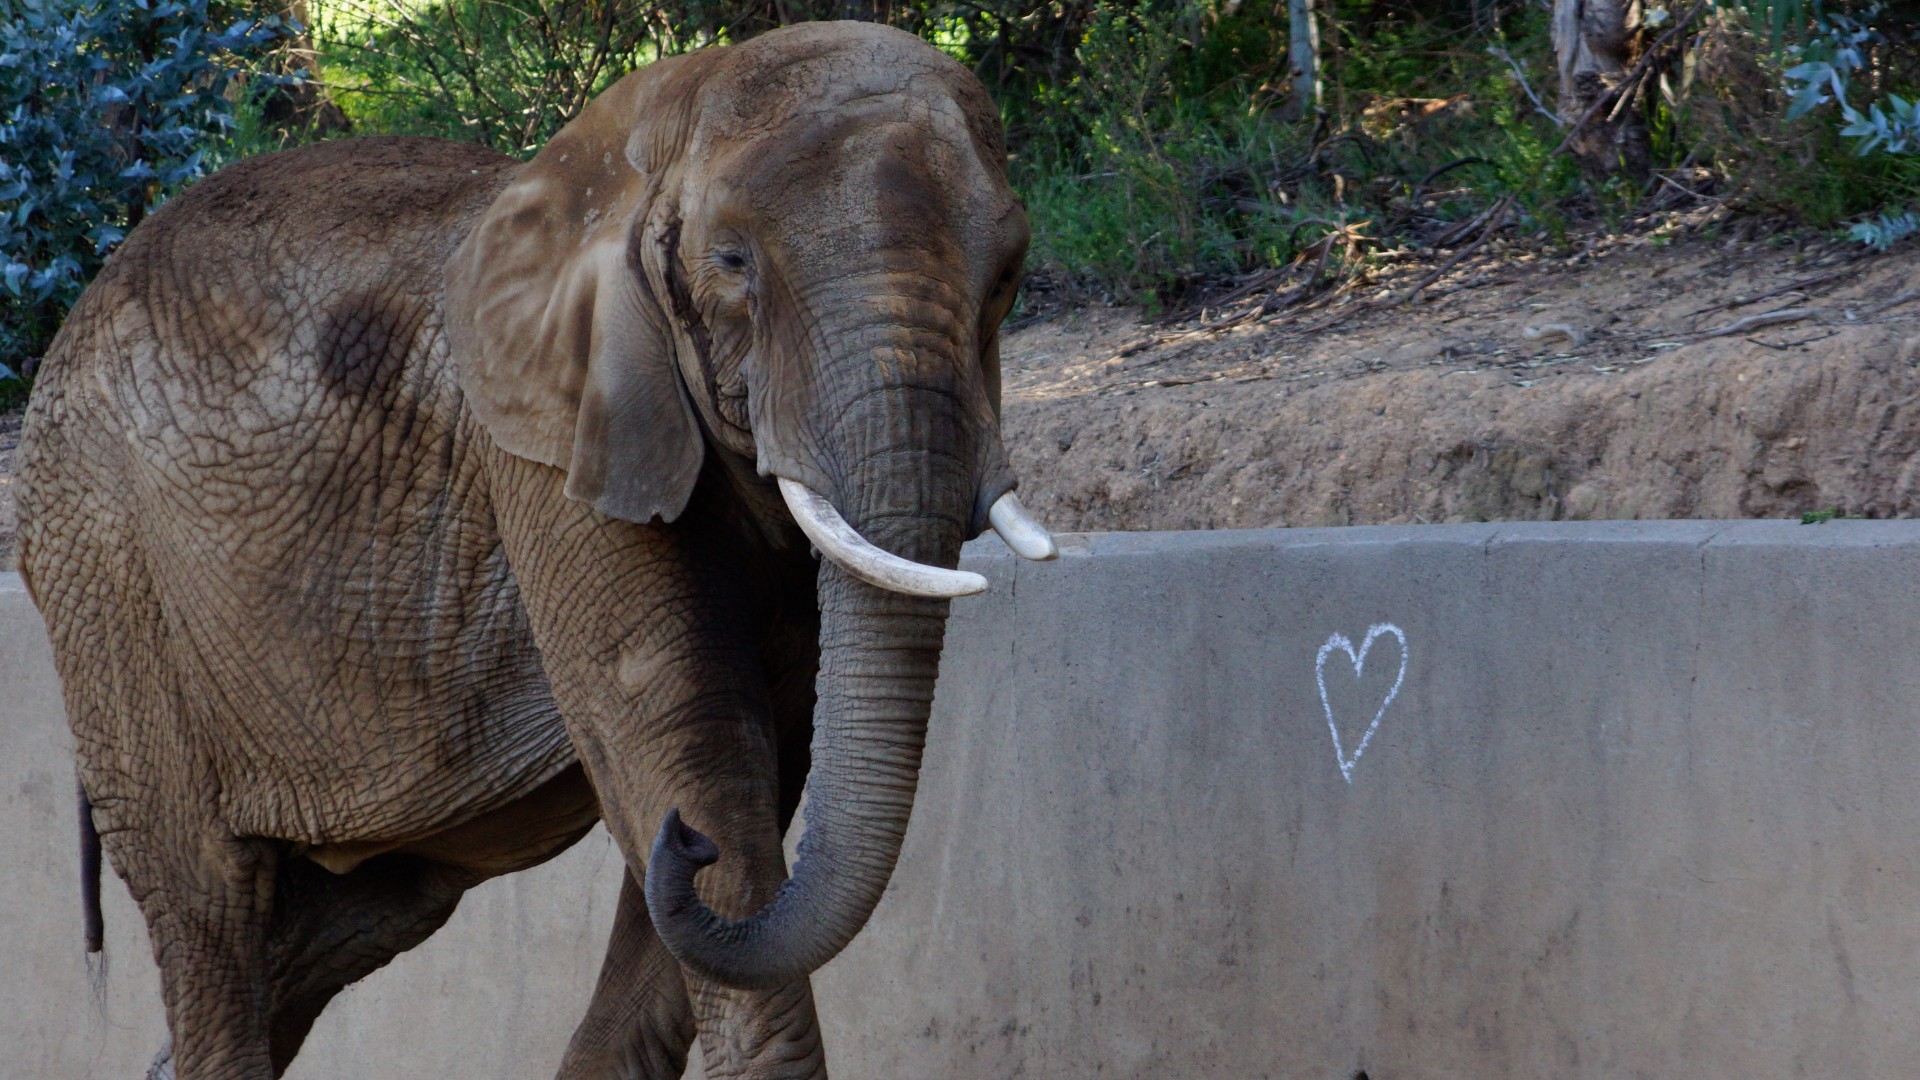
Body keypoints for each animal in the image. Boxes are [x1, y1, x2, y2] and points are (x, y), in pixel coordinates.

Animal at [15, 21, 1055, 1079]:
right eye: (731, 262)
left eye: (1009, 274)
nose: (687, 851)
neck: (651, 133)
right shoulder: (549, 455)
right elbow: (686, 745)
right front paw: (697, 829)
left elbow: (759, 762)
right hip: (104, 572)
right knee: (210, 905)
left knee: (345, 919)